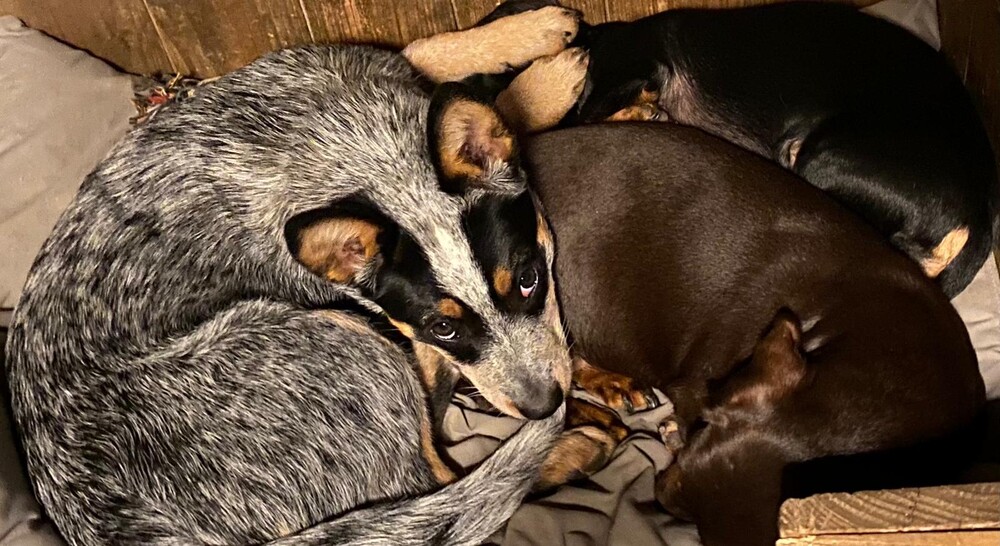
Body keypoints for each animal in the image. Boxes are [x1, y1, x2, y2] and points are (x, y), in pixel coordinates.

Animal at [3, 45, 635, 545]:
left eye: (528, 279)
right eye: (444, 326)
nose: (544, 405)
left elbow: (433, 48)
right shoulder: (407, 340)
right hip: (343, 345)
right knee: (441, 487)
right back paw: (573, 445)